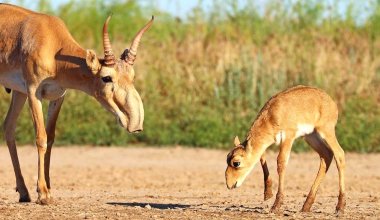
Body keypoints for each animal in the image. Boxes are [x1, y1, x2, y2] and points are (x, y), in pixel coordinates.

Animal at [1, 3, 153, 205]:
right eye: (107, 77)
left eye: (132, 76)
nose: (135, 123)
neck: (54, 48)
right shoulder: (34, 93)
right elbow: (41, 138)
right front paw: (43, 194)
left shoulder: (58, 96)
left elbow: (50, 138)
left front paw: (48, 189)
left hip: (18, 93)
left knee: (8, 126)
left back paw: (24, 192)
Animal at [226, 85, 348, 213]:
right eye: (227, 158)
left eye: (236, 163)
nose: (229, 184)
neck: (272, 114)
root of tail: (331, 101)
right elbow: (261, 157)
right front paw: (267, 194)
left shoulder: (288, 137)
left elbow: (281, 162)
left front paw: (276, 205)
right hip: (311, 137)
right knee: (326, 155)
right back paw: (306, 206)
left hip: (326, 131)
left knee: (339, 154)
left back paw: (340, 206)